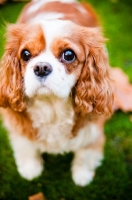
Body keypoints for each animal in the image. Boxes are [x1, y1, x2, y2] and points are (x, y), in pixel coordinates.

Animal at [0, 0, 113, 188]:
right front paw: (31, 168)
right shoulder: (17, 124)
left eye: (68, 55)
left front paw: (82, 175)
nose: (41, 67)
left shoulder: (92, 127)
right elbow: (25, 145)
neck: (51, 105)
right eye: (25, 54)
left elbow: (85, 153)